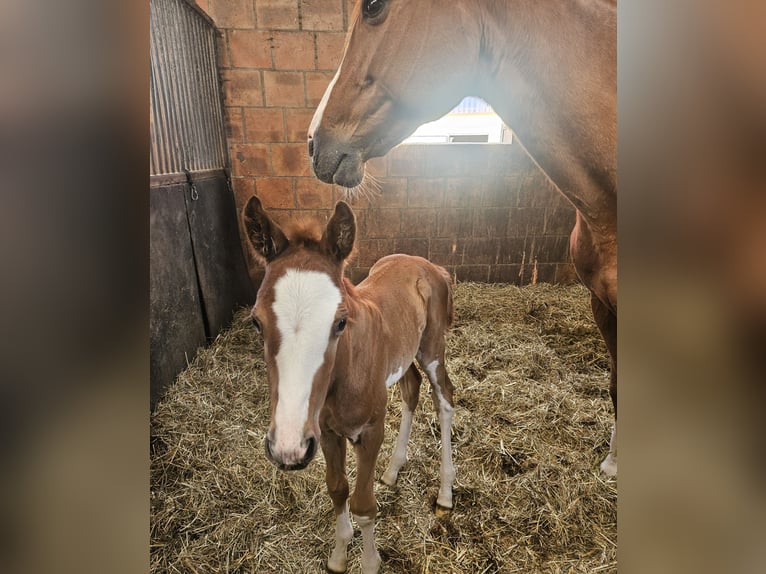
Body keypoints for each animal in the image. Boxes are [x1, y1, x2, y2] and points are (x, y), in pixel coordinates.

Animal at [242, 195, 456, 574]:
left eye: (341, 322)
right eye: (256, 322)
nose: (287, 448)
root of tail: (428, 264)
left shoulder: (370, 432)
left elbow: (364, 505)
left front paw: (369, 562)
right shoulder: (325, 433)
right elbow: (338, 489)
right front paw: (339, 555)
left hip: (432, 349)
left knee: (444, 397)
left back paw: (445, 493)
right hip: (402, 357)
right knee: (411, 388)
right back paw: (392, 470)